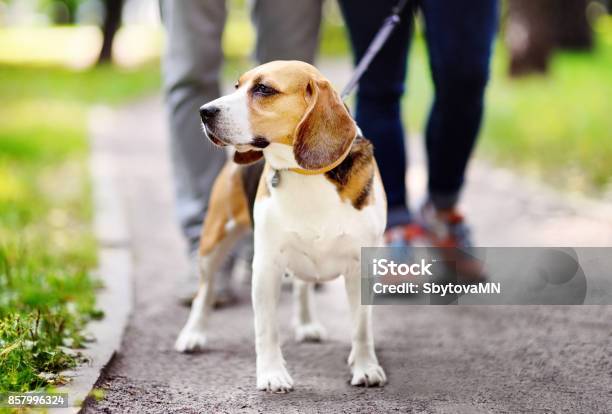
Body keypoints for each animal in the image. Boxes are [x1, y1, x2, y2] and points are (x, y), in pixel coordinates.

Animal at [175, 60, 388, 392]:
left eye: (264, 89)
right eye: (237, 86)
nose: (204, 111)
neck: (306, 173)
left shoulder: (361, 268)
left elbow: (361, 327)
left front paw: (366, 367)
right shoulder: (265, 268)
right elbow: (266, 329)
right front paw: (272, 374)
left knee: (302, 286)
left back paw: (307, 324)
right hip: (213, 242)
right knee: (204, 292)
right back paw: (193, 334)